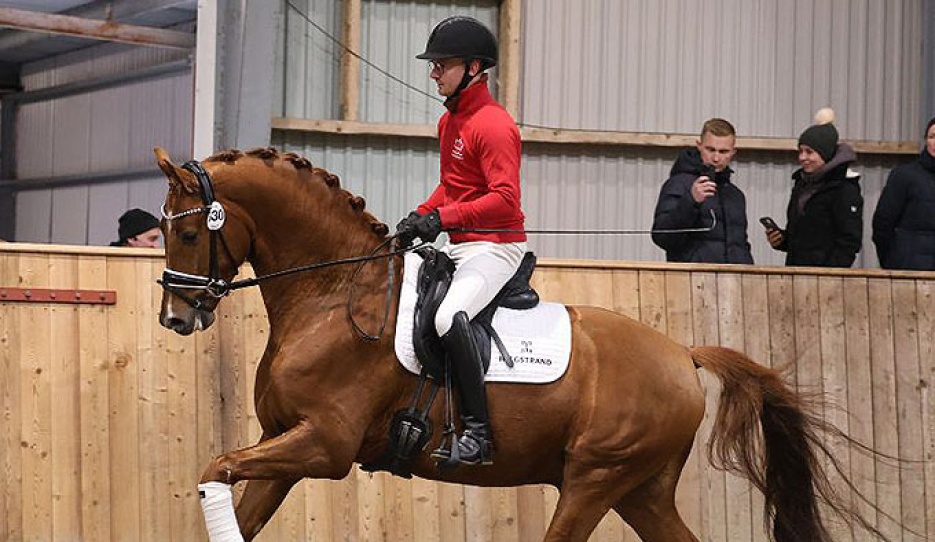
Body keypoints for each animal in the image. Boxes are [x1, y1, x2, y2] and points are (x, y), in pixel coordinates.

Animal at [154, 146, 881, 542]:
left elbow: (213, 466)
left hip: (595, 478)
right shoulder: (283, 444)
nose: (175, 317)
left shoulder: (323, 446)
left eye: (187, 233)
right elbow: (234, 498)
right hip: (639, 489)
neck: (335, 294)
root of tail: (682, 355)